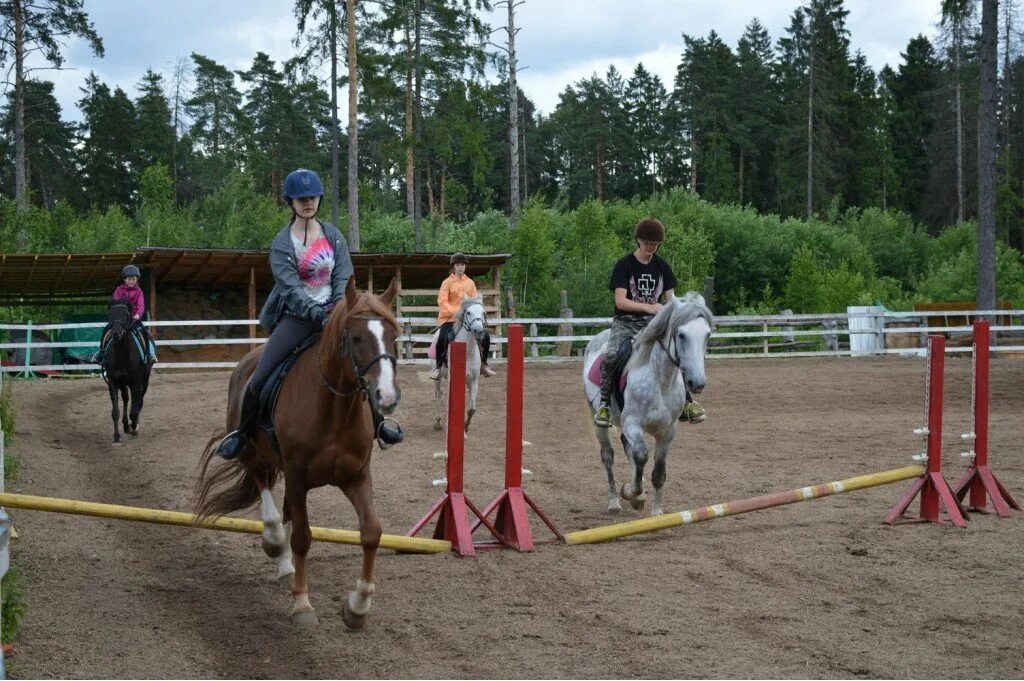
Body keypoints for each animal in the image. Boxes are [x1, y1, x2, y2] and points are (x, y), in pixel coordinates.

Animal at [193, 278, 401, 630]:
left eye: (393, 336)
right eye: (355, 337)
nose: (386, 397)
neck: (334, 410)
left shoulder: (356, 475)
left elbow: (371, 532)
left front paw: (357, 607)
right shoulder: (297, 474)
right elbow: (303, 537)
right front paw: (303, 603)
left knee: (288, 509)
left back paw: (285, 566)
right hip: (254, 455)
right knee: (267, 495)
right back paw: (274, 542)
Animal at [581, 292, 716, 516]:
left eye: (707, 335)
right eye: (681, 335)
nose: (697, 384)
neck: (661, 381)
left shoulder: (668, 431)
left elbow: (658, 472)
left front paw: (656, 513)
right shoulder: (633, 423)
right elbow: (642, 455)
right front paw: (631, 493)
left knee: (628, 448)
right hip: (598, 417)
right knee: (609, 456)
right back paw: (614, 502)